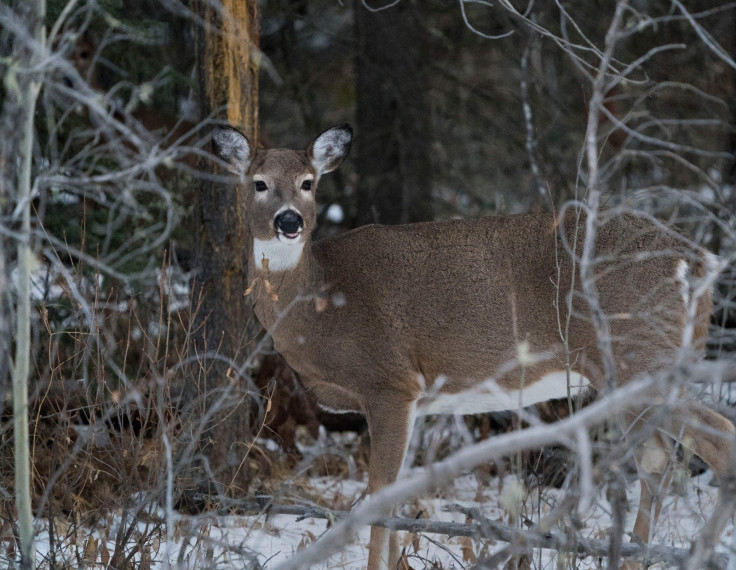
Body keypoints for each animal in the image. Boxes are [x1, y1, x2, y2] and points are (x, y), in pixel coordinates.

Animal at [210, 124, 732, 568]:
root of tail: (698, 260)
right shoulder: (416, 398)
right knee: (658, 461)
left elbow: (379, 494)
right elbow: (397, 492)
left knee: (714, 440)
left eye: (308, 182)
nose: (289, 220)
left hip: (639, 355)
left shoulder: (389, 382)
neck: (320, 304)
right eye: (259, 183)